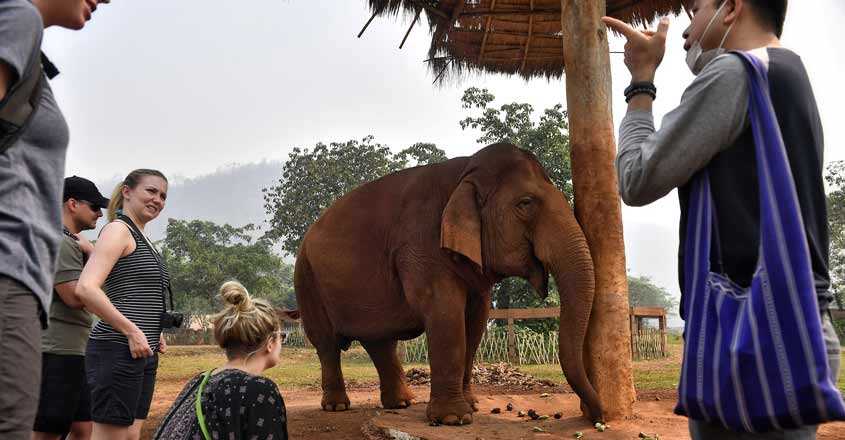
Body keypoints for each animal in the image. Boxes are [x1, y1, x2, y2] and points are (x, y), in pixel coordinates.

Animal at [294, 143, 604, 424]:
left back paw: (402, 403)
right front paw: (454, 418)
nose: (597, 417)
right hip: (306, 279)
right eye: (525, 204)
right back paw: (337, 406)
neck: (463, 172)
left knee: (380, 342)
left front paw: (472, 406)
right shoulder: (420, 247)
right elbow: (445, 312)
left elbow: (475, 322)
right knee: (327, 344)